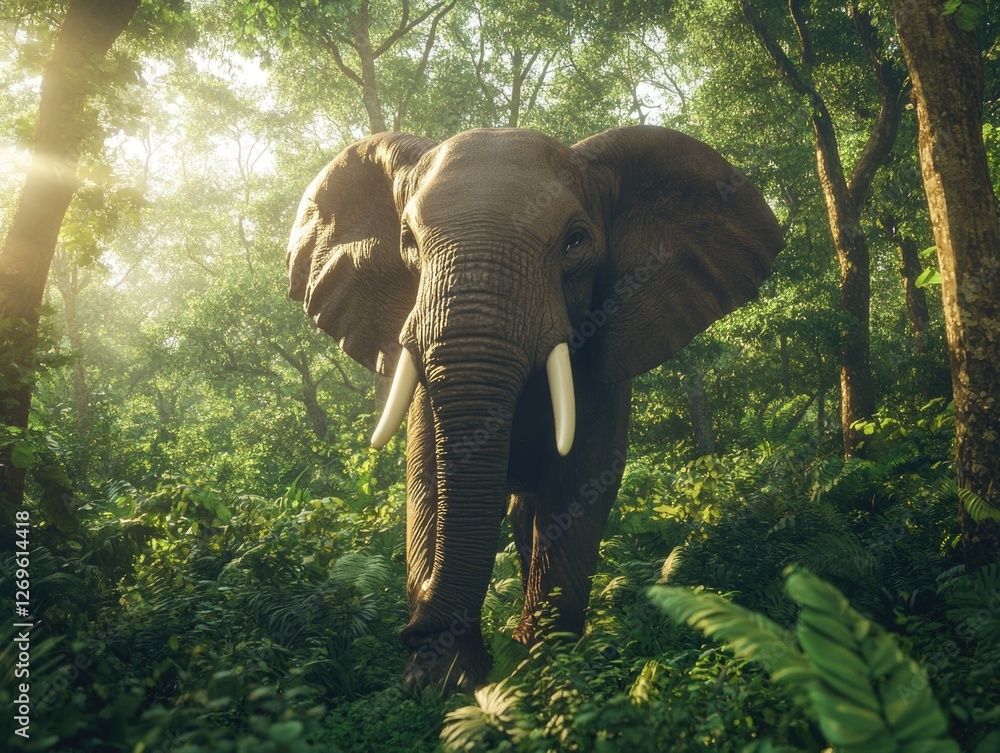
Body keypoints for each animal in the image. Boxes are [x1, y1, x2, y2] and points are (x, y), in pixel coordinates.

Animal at [286, 125, 782, 694]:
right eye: (407, 241)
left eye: (576, 241)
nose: (411, 631)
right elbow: (426, 479)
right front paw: (444, 683)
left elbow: (581, 481)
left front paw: (546, 670)